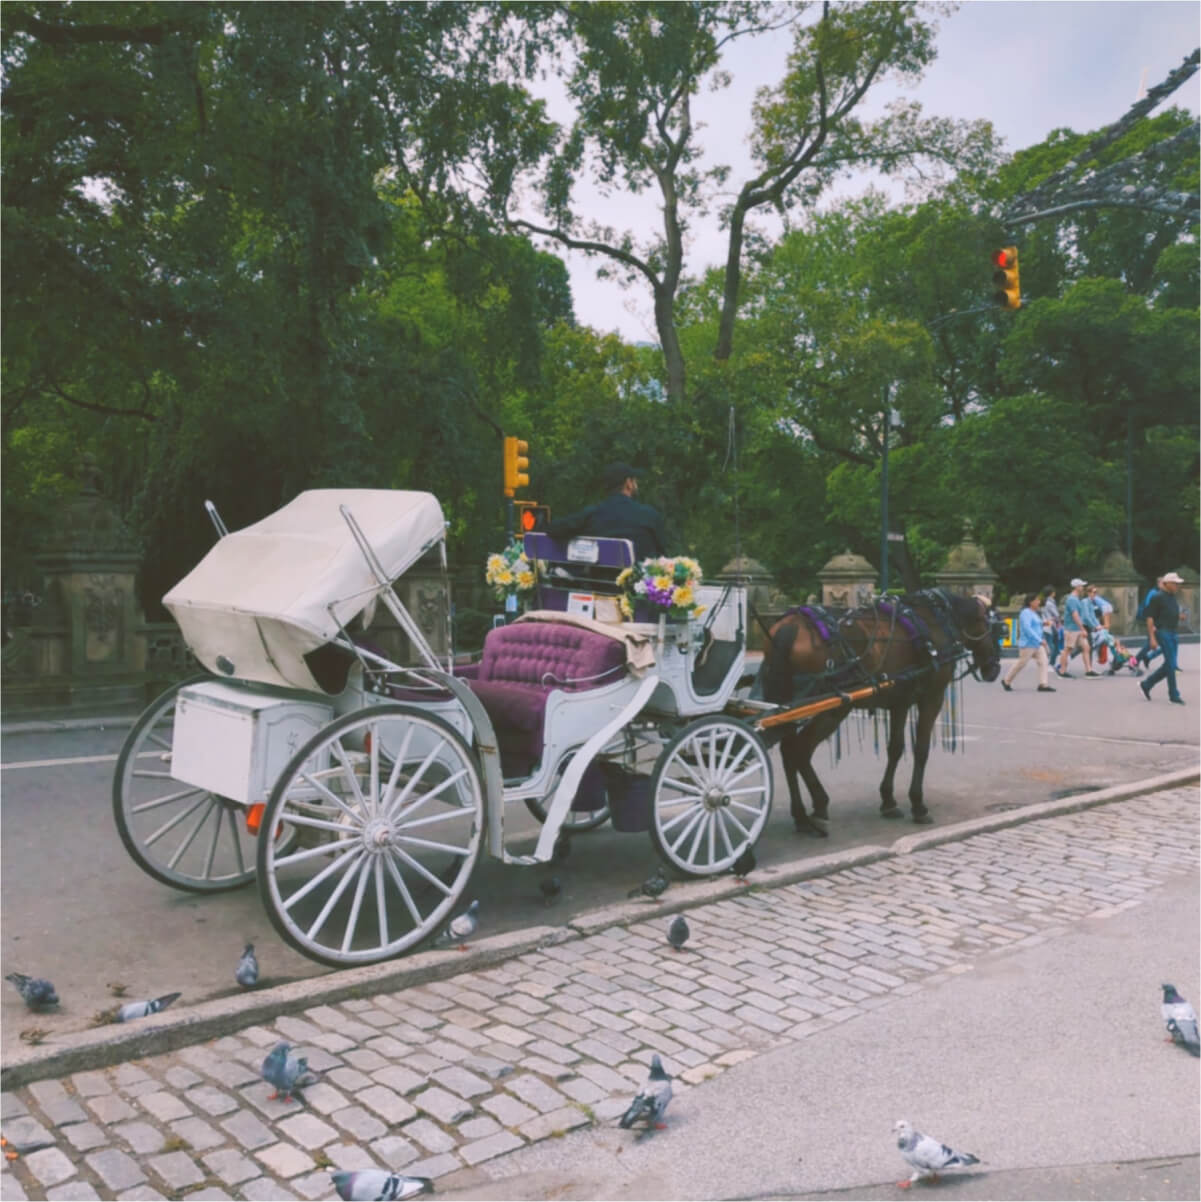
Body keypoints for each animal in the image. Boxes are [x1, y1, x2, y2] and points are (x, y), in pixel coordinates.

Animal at [759, 591, 1005, 836]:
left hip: (787, 708)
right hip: (833, 709)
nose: (994, 670)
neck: (938, 620)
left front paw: (888, 800)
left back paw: (800, 815)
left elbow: (895, 748)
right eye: (998, 630)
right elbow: (921, 750)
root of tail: (791, 625)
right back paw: (819, 806)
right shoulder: (931, 698)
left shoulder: (900, 703)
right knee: (799, 751)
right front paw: (918, 804)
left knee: (788, 751)